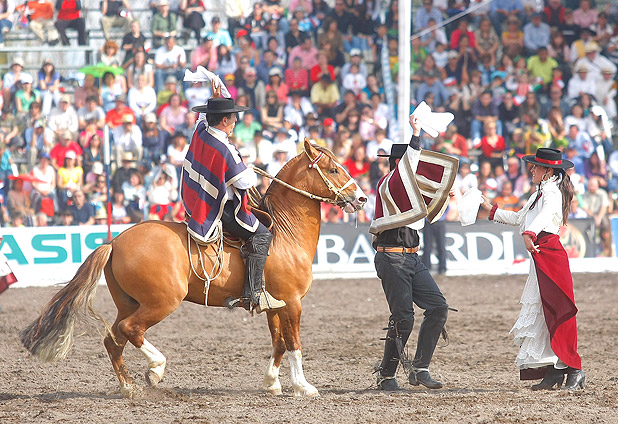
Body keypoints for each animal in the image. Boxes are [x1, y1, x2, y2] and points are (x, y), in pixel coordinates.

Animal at [20, 139, 366, 398]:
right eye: (333, 169)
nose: (361, 197)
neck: (284, 233)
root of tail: (115, 241)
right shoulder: (293, 303)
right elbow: (294, 344)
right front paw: (303, 386)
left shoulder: (276, 305)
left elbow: (279, 342)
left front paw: (272, 382)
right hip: (162, 302)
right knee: (131, 330)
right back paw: (155, 370)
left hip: (130, 303)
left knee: (113, 339)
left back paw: (129, 387)